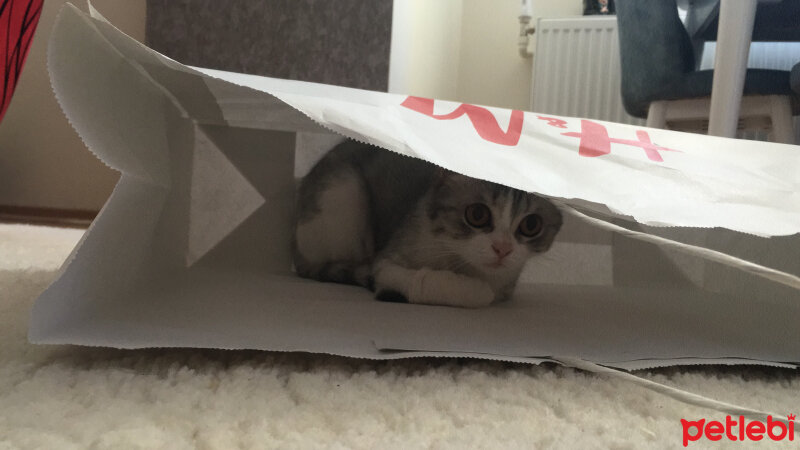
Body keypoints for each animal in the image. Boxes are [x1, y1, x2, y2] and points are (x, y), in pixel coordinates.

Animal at [294, 142, 564, 310]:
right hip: (342, 194)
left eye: (531, 224)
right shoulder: (386, 263)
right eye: (477, 214)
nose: (503, 248)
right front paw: (476, 290)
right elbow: (432, 284)